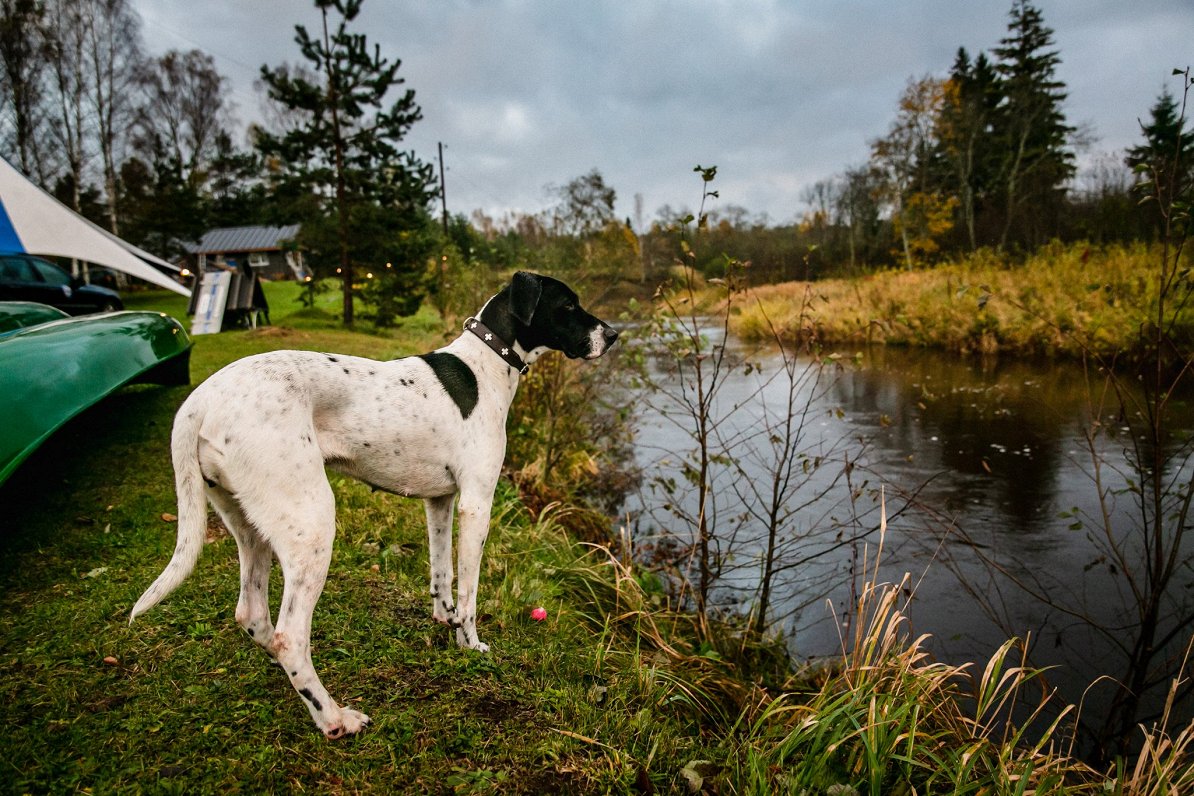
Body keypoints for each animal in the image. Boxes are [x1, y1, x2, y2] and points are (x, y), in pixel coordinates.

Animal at [128, 274, 616, 739]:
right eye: (568, 305)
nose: (613, 335)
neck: (487, 362)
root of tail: (200, 401)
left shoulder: (440, 501)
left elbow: (441, 574)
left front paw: (445, 621)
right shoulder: (477, 504)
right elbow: (470, 591)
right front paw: (470, 644)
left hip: (252, 529)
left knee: (252, 614)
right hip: (312, 524)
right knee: (291, 637)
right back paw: (332, 718)